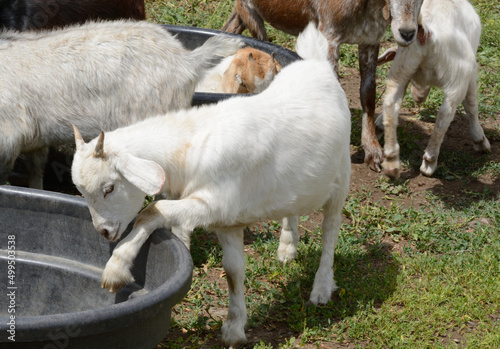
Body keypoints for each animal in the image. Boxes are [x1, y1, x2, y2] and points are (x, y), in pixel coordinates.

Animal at [71, 23, 352, 346]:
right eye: (82, 191)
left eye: (109, 188)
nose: (104, 232)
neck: (192, 147)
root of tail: (318, 65)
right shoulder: (228, 220)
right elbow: (233, 271)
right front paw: (234, 329)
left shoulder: (214, 203)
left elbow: (153, 211)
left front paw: (116, 269)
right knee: (292, 209)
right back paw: (287, 248)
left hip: (341, 176)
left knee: (330, 229)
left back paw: (321, 289)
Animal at [222, 0, 422, 171]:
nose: (407, 33)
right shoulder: (329, 36)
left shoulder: (370, 41)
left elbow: (368, 95)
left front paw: (373, 151)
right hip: (250, 12)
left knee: (228, 30)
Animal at [376, 0, 490, 178]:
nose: (418, 96)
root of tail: (426, 31)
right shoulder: (470, 74)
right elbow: (471, 104)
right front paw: (480, 139)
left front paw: (378, 124)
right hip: (459, 73)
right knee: (445, 114)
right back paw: (430, 160)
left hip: (403, 64)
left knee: (390, 104)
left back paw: (391, 161)